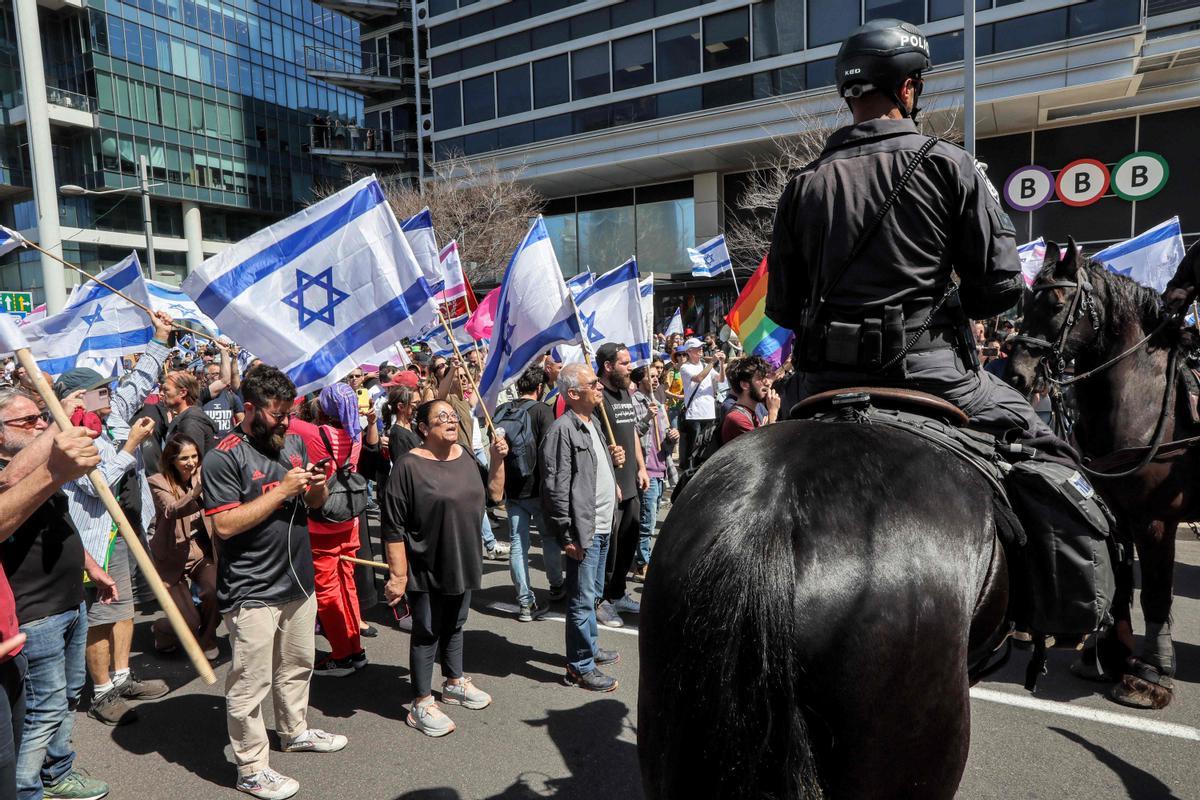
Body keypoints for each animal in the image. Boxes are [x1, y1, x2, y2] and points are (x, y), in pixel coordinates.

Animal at [1003, 241, 1190, 710]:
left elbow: (1155, 590)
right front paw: (1107, 655)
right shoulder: (1117, 510)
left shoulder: (1155, 518)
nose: (1017, 375)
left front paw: (1152, 674)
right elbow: (1123, 581)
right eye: (1024, 304)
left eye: (1055, 304)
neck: (1144, 397)